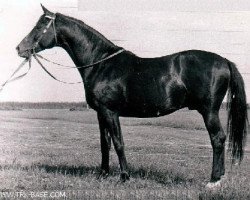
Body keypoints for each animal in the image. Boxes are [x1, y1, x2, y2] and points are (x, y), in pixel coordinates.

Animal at [16, 5, 248, 188]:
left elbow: (119, 143)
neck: (101, 64)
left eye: (40, 25)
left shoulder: (110, 112)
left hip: (209, 111)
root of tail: (224, 61)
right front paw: (103, 175)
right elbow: (105, 144)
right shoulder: (101, 114)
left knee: (218, 139)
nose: (19, 48)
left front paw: (125, 177)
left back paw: (214, 180)